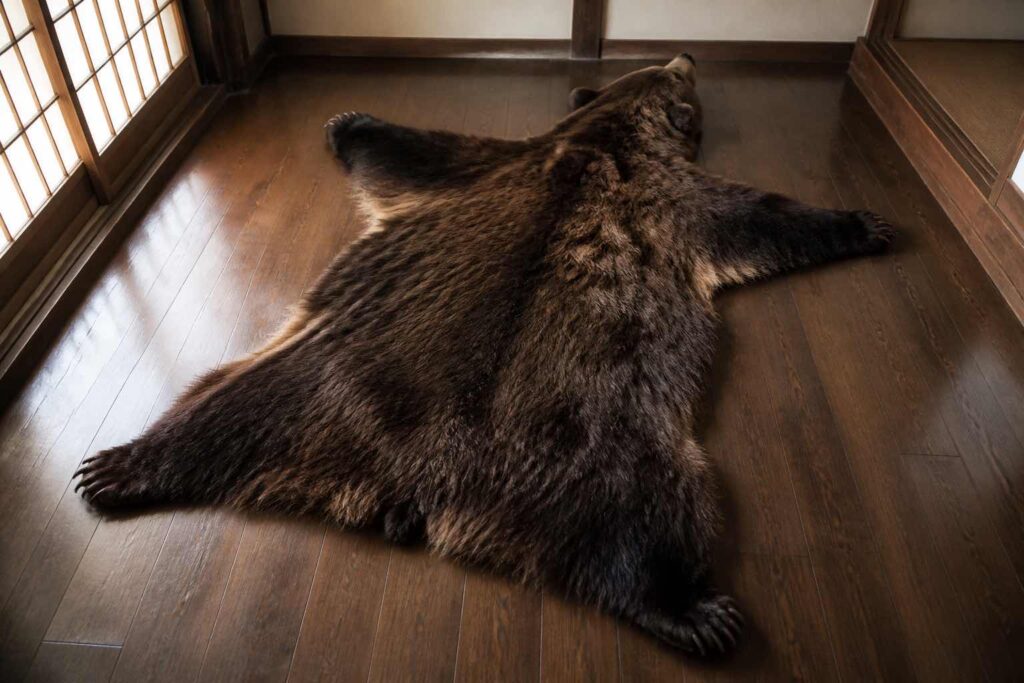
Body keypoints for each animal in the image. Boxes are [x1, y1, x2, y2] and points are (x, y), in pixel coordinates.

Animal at [74, 54, 893, 657]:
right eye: (673, 71)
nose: (686, 53)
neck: (607, 135)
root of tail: (412, 484)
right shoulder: (623, 184)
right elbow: (757, 216)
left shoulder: (541, 166)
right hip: (549, 423)